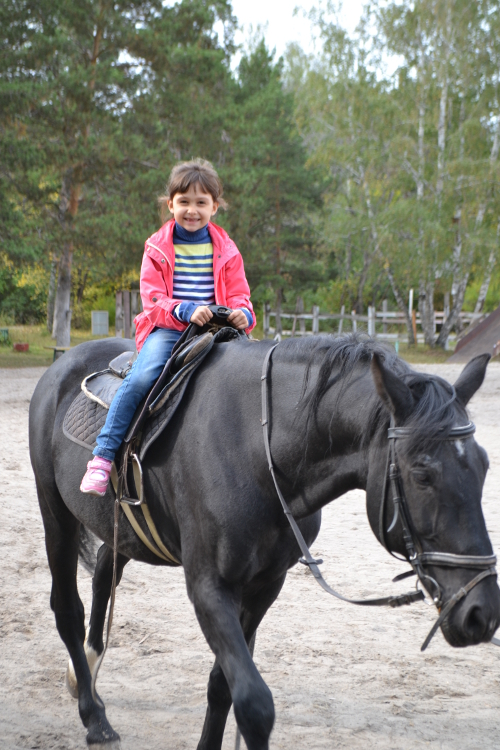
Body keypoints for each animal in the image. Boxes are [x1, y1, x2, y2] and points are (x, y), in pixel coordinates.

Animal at [30, 334, 500, 750]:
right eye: (422, 474)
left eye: (483, 466)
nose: (480, 612)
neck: (258, 448)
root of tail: (63, 364)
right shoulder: (210, 587)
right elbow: (254, 703)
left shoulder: (265, 585)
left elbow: (223, 686)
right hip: (56, 514)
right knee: (67, 609)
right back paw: (94, 716)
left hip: (121, 527)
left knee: (104, 570)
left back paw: (85, 671)